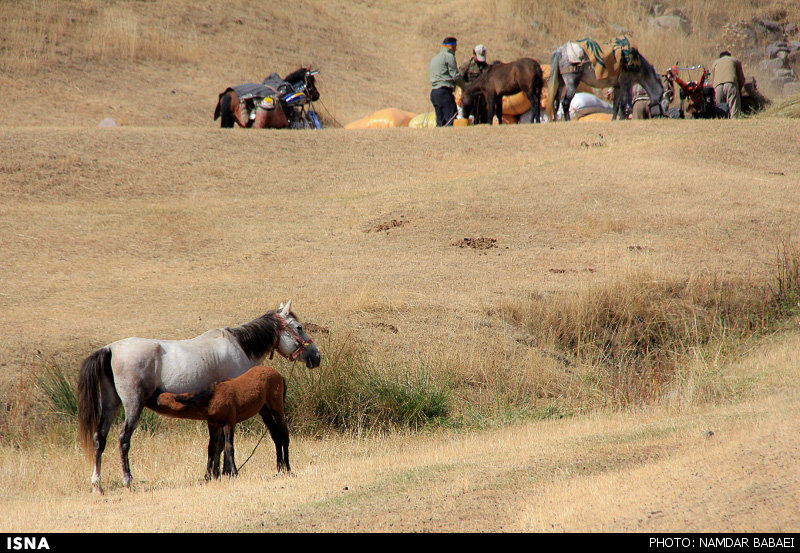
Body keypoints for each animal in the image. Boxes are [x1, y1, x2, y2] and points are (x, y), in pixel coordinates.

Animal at [149, 364, 290, 476]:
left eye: (166, 397)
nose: (156, 398)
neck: (211, 399)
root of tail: (279, 375)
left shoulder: (229, 423)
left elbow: (229, 447)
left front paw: (234, 473)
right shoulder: (213, 424)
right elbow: (212, 448)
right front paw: (207, 476)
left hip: (277, 407)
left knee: (284, 434)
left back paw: (288, 468)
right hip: (265, 411)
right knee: (276, 436)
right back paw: (279, 469)